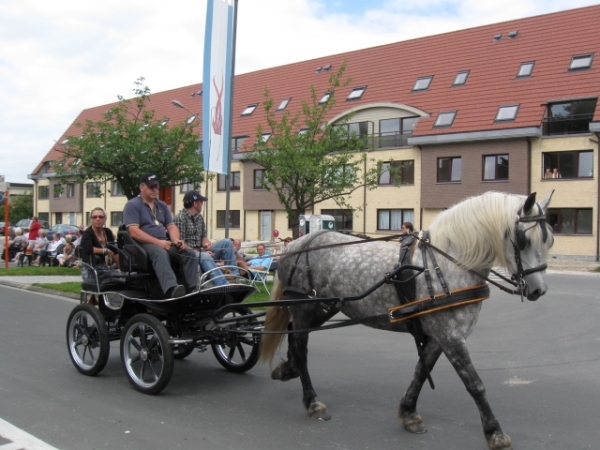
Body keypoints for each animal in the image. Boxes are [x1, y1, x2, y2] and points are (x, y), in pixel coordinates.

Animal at [260, 191, 556, 450]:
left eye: (549, 241)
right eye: (523, 240)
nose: (539, 291)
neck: (446, 265)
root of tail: (295, 244)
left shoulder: (440, 335)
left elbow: (421, 371)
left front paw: (409, 412)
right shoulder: (451, 338)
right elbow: (475, 384)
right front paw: (495, 432)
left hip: (322, 307)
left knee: (294, 337)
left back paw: (288, 370)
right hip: (303, 307)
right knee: (301, 347)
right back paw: (312, 401)